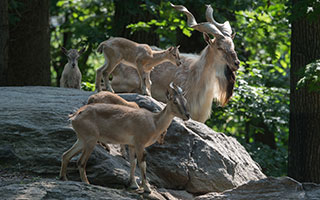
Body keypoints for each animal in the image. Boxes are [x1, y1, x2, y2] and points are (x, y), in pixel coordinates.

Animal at [59, 82, 190, 193]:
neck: (154, 122)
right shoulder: (139, 144)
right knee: (81, 162)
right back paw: (87, 182)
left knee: (66, 155)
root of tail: (75, 115)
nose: (187, 115)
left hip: (82, 140)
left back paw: (64, 178)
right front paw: (147, 188)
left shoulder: (132, 145)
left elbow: (133, 163)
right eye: (175, 101)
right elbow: (142, 163)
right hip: (91, 140)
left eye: (185, 100)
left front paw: (133, 185)